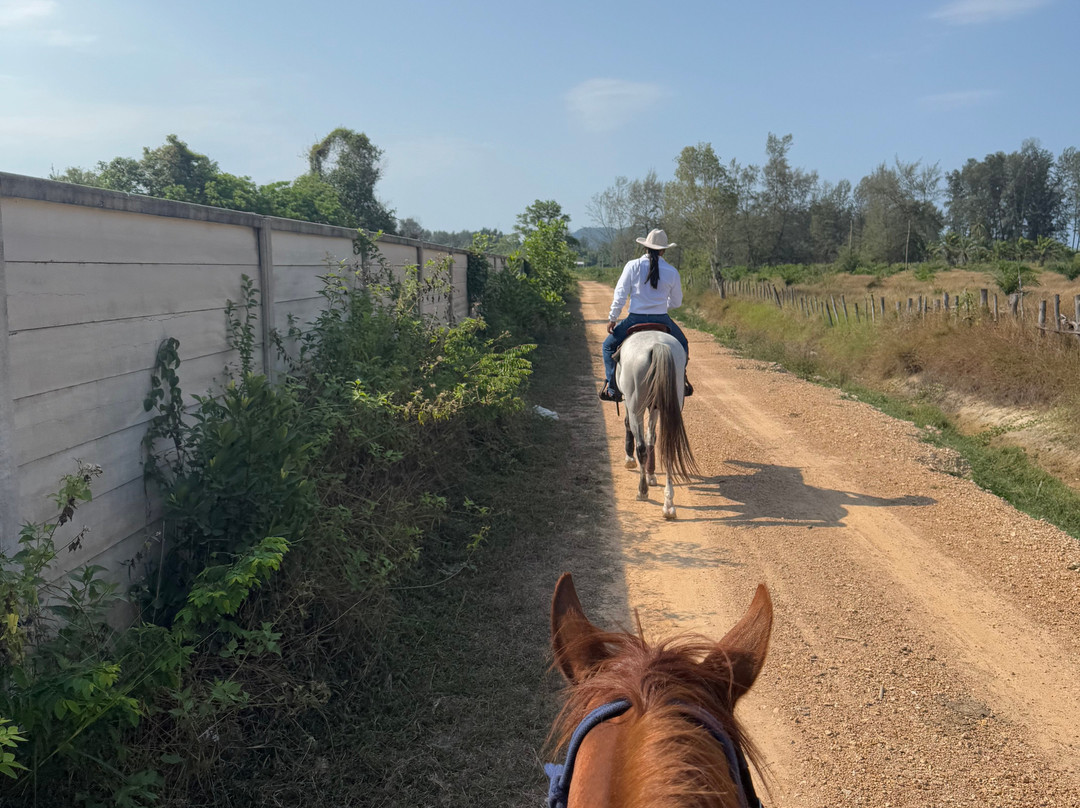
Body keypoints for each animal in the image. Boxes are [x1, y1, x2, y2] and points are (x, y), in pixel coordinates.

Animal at [615, 328, 697, 519]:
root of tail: (657, 345)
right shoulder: (655, 408)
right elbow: (651, 436)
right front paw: (651, 474)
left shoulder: (629, 403)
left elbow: (631, 427)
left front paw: (630, 460)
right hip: (669, 405)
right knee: (668, 448)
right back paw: (668, 505)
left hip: (636, 406)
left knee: (641, 448)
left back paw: (642, 491)